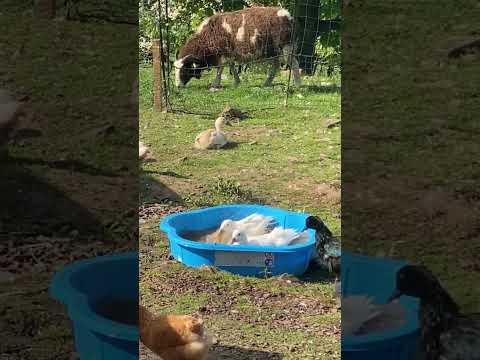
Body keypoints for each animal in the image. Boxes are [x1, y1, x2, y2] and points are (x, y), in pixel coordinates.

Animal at [172, 6, 300, 89]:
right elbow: (232, 67)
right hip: (274, 51)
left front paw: (215, 84)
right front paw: (237, 82)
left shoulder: (223, 53)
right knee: (276, 66)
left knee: (293, 63)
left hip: (286, 46)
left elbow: (220, 69)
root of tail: (287, 15)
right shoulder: (229, 54)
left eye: (185, 69)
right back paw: (267, 83)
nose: (178, 86)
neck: (207, 38)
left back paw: (298, 84)